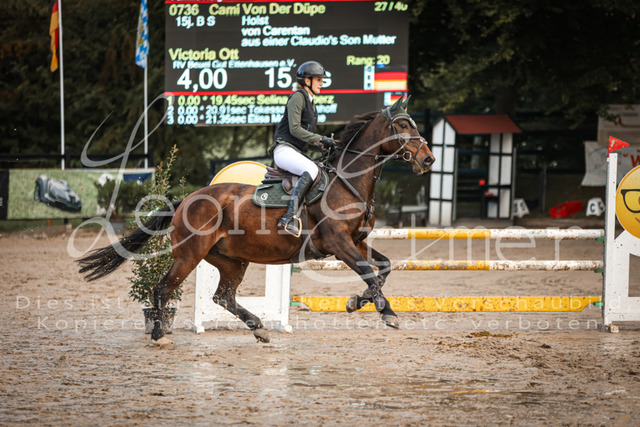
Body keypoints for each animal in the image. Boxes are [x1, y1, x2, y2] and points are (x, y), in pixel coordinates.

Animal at [77, 95, 435, 346]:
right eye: (404, 126)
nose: (429, 159)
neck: (347, 181)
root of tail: (187, 200)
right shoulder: (339, 243)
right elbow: (368, 273)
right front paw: (387, 313)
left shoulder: (357, 241)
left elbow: (383, 268)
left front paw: (355, 302)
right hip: (190, 255)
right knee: (164, 288)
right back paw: (159, 335)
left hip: (231, 260)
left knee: (223, 296)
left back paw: (259, 329)